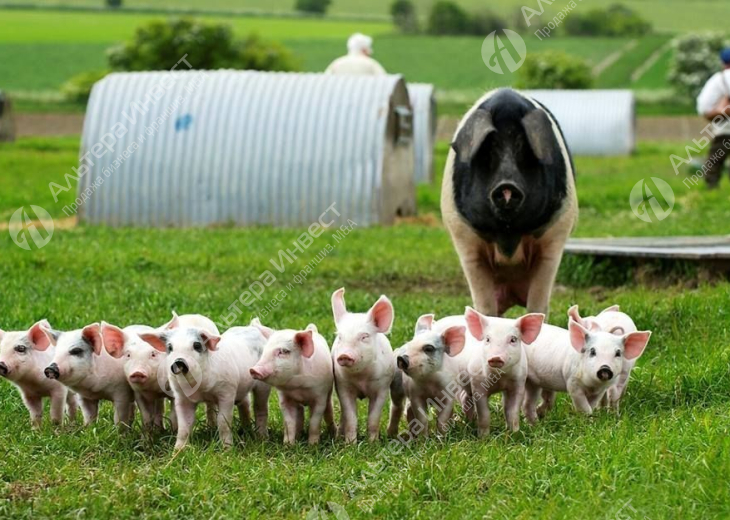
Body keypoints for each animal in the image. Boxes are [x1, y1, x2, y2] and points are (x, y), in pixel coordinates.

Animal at [440, 89, 576, 316]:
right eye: (489, 148)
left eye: (523, 147)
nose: (507, 185)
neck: (508, 235)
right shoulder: (465, 238)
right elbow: (484, 306)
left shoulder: (555, 235)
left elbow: (537, 305)